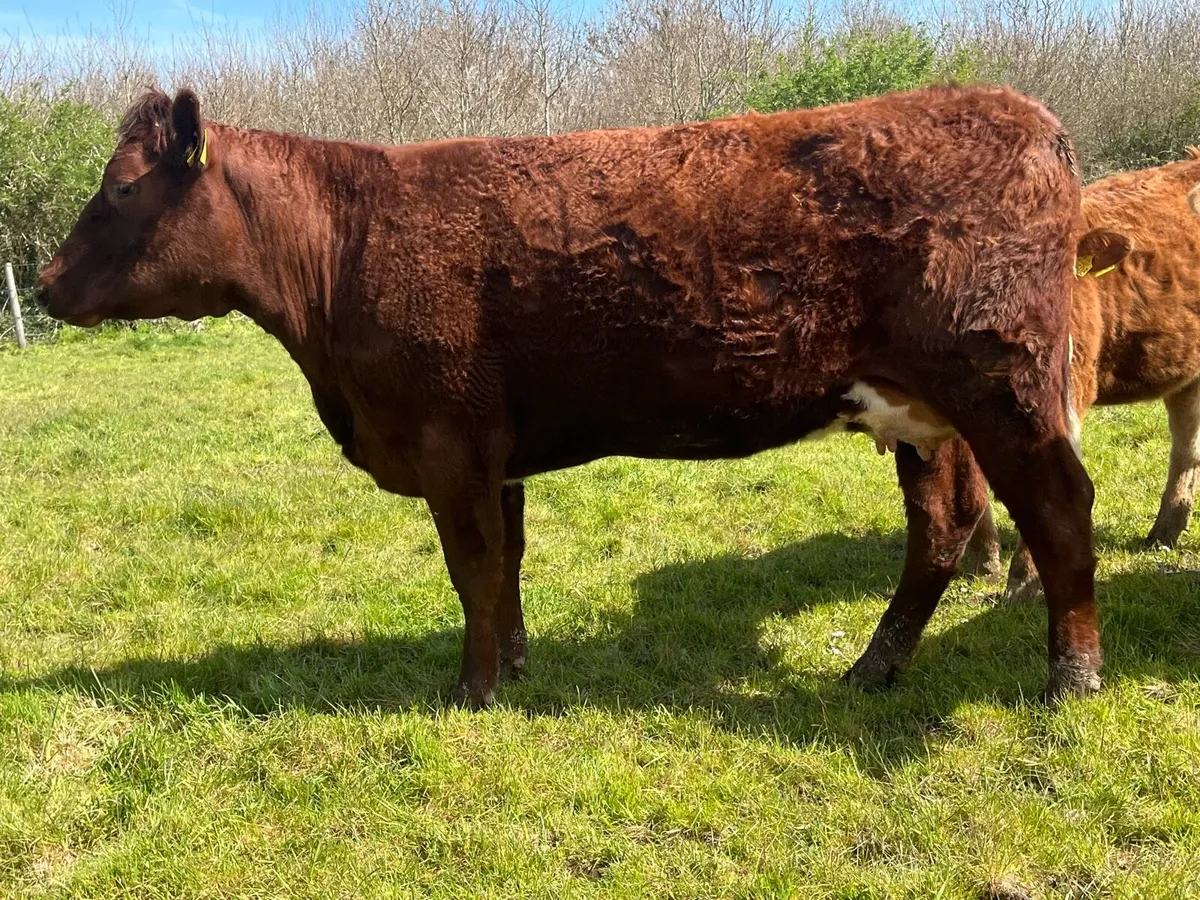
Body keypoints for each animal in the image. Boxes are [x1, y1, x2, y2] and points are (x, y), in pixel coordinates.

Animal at [38, 86, 1104, 708]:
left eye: (122, 189)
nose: (44, 284)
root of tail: (1026, 114)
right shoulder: (493, 453)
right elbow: (505, 567)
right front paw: (511, 667)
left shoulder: (449, 443)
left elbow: (471, 570)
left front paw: (471, 692)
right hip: (925, 415)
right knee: (944, 528)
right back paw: (873, 668)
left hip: (1005, 390)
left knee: (1057, 509)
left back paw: (1071, 680)